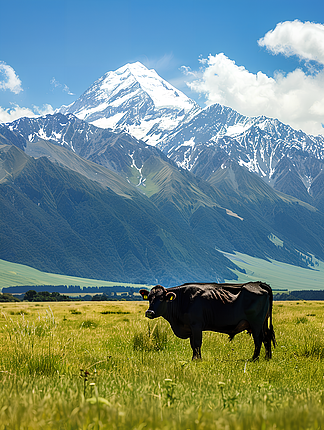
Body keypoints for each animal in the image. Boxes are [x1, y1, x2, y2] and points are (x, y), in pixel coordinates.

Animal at [139, 280, 276, 362]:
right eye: (149, 297)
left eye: (162, 298)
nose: (149, 312)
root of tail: (258, 283)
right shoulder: (190, 328)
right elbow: (193, 344)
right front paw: (194, 358)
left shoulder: (196, 325)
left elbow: (197, 343)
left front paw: (197, 359)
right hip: (263, 323)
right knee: (266, 337)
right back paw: (267, 358)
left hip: (256, 323)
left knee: (258, 339)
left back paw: (254, 359)